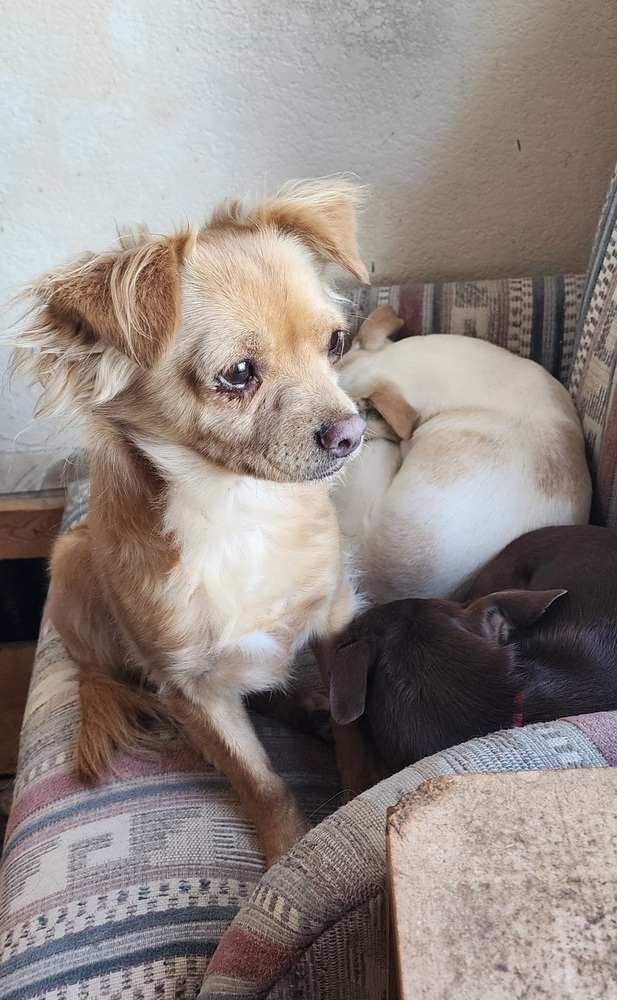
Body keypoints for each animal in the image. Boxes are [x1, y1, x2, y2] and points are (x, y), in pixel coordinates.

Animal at [9, 182, 368, 868]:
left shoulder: (337, 617)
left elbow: (353, 722)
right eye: (239, 374)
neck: (239, 511)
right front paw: (286, 854)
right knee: (106, 672)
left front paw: (365, 785)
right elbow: (261, 781)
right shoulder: (191, 689)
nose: (351, 433)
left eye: (335, 343)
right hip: (70, 558)